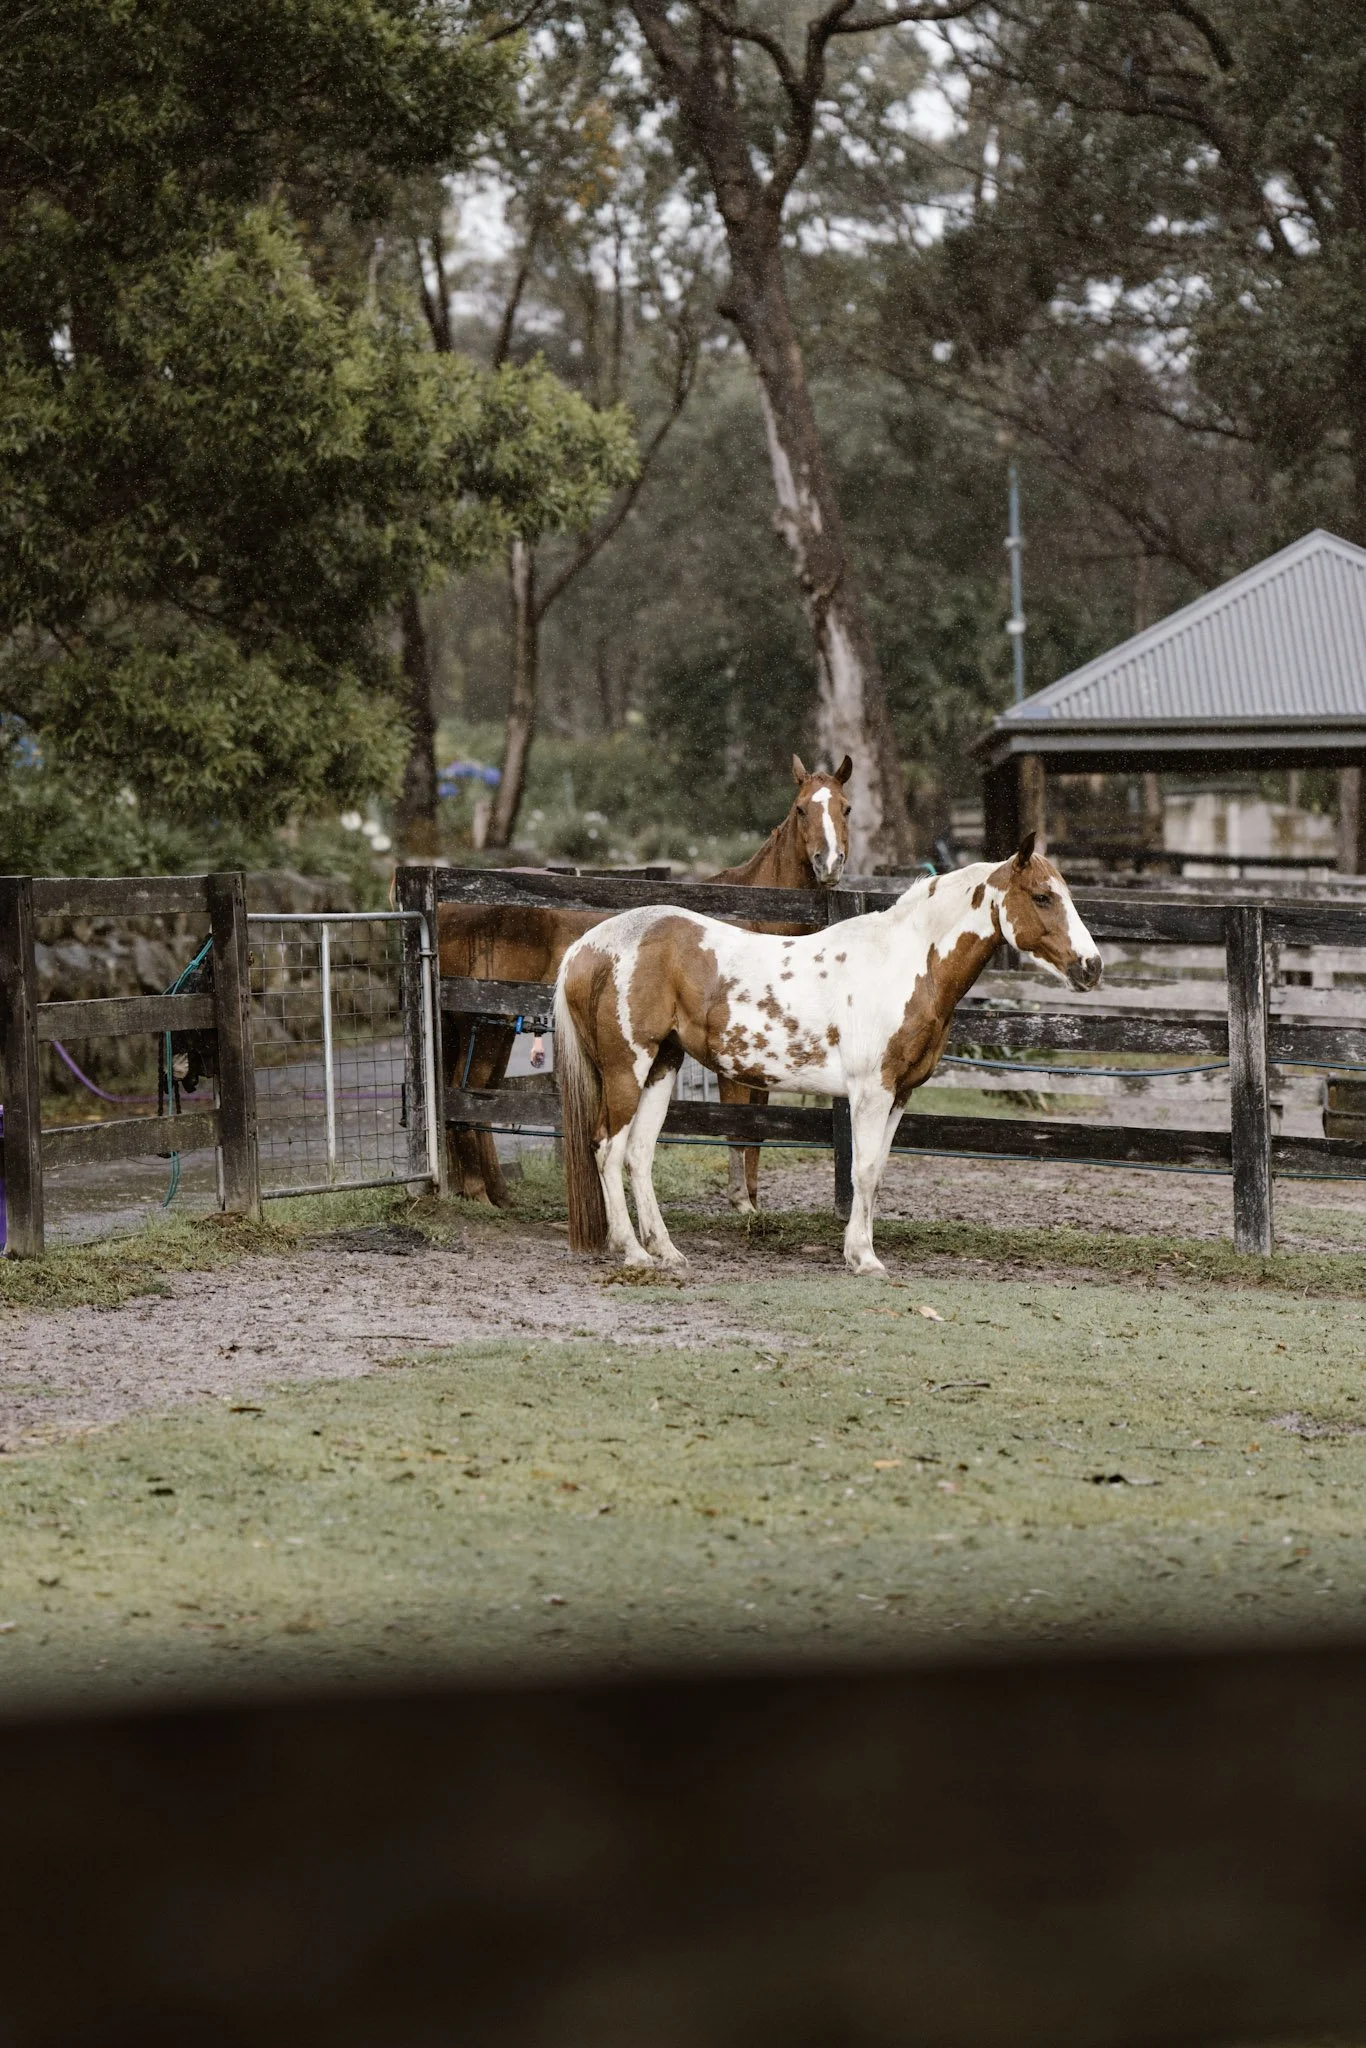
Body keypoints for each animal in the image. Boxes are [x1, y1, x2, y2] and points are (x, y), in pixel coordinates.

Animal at [438, 754, 852, 1207]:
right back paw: (479, 1192)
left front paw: (753, 1202)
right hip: (484, 1024)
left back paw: (494, 1193)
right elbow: (738, 1124)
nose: (829, 863)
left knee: (477, 1098)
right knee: (468, 1094)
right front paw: (740, 1200)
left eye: (846, 808)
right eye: (801, 808)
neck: (755, 917)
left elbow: (757, 1126)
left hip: (490, 1026)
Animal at [553, 835, 1102, 1277]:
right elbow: (862, 1169)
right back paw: (633, 1252)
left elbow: (876, 1173)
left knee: (639, 1154)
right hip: (627, 1068)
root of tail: (587, 947)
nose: (1091, 967)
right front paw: (864, 1258)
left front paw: (859, 1250)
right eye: (1042, 897)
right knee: (608, 1148)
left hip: (662, 1067)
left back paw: (665, 1251)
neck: (902, 964)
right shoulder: (870, 1092)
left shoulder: (899, 1094)